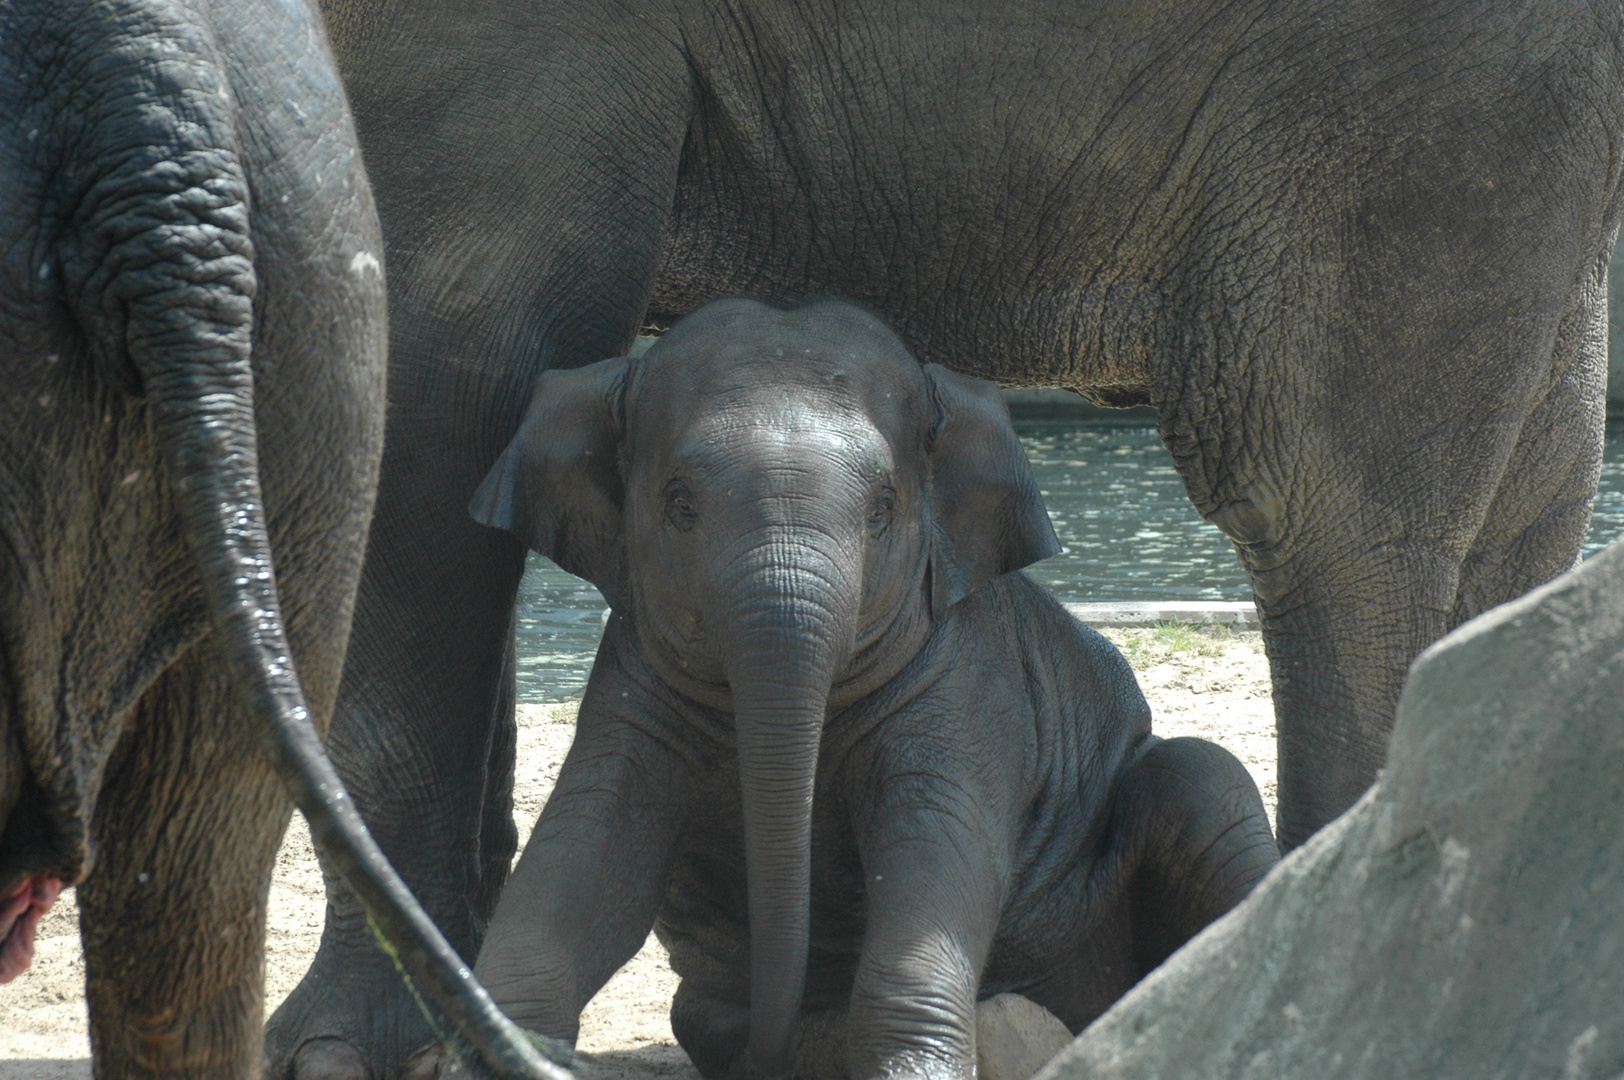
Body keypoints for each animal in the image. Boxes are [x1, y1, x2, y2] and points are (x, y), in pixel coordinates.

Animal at [464, 297, 1273, 1078]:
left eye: (883, 507)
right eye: (680, 504)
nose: (767, 1045)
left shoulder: (967, 684)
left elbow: (936, 853)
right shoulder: (633, 678)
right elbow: (590, 849)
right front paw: (500, 1046)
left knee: (1203, 779)